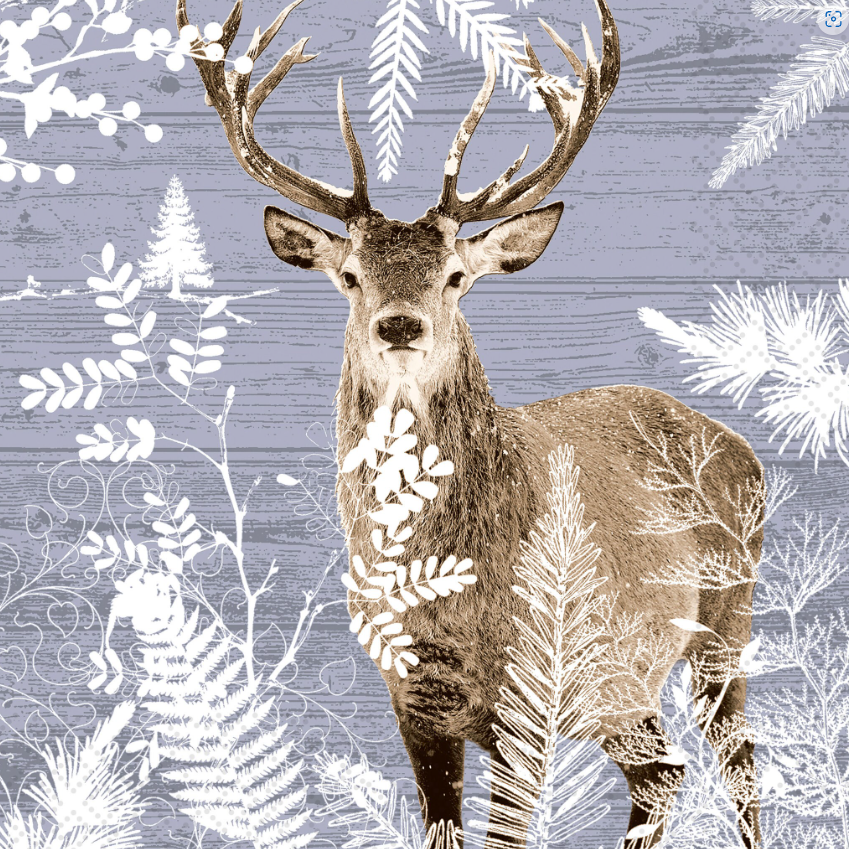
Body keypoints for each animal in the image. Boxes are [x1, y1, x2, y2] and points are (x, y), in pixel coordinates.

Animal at [177, 0, 764, 846]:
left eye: (455, 275)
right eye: (349, 275)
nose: (398, 324)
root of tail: (740, 443)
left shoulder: (529, 689)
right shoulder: (412, 697)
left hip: (725, 614)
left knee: (736, 760)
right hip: (621, 680)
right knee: (660, 768)